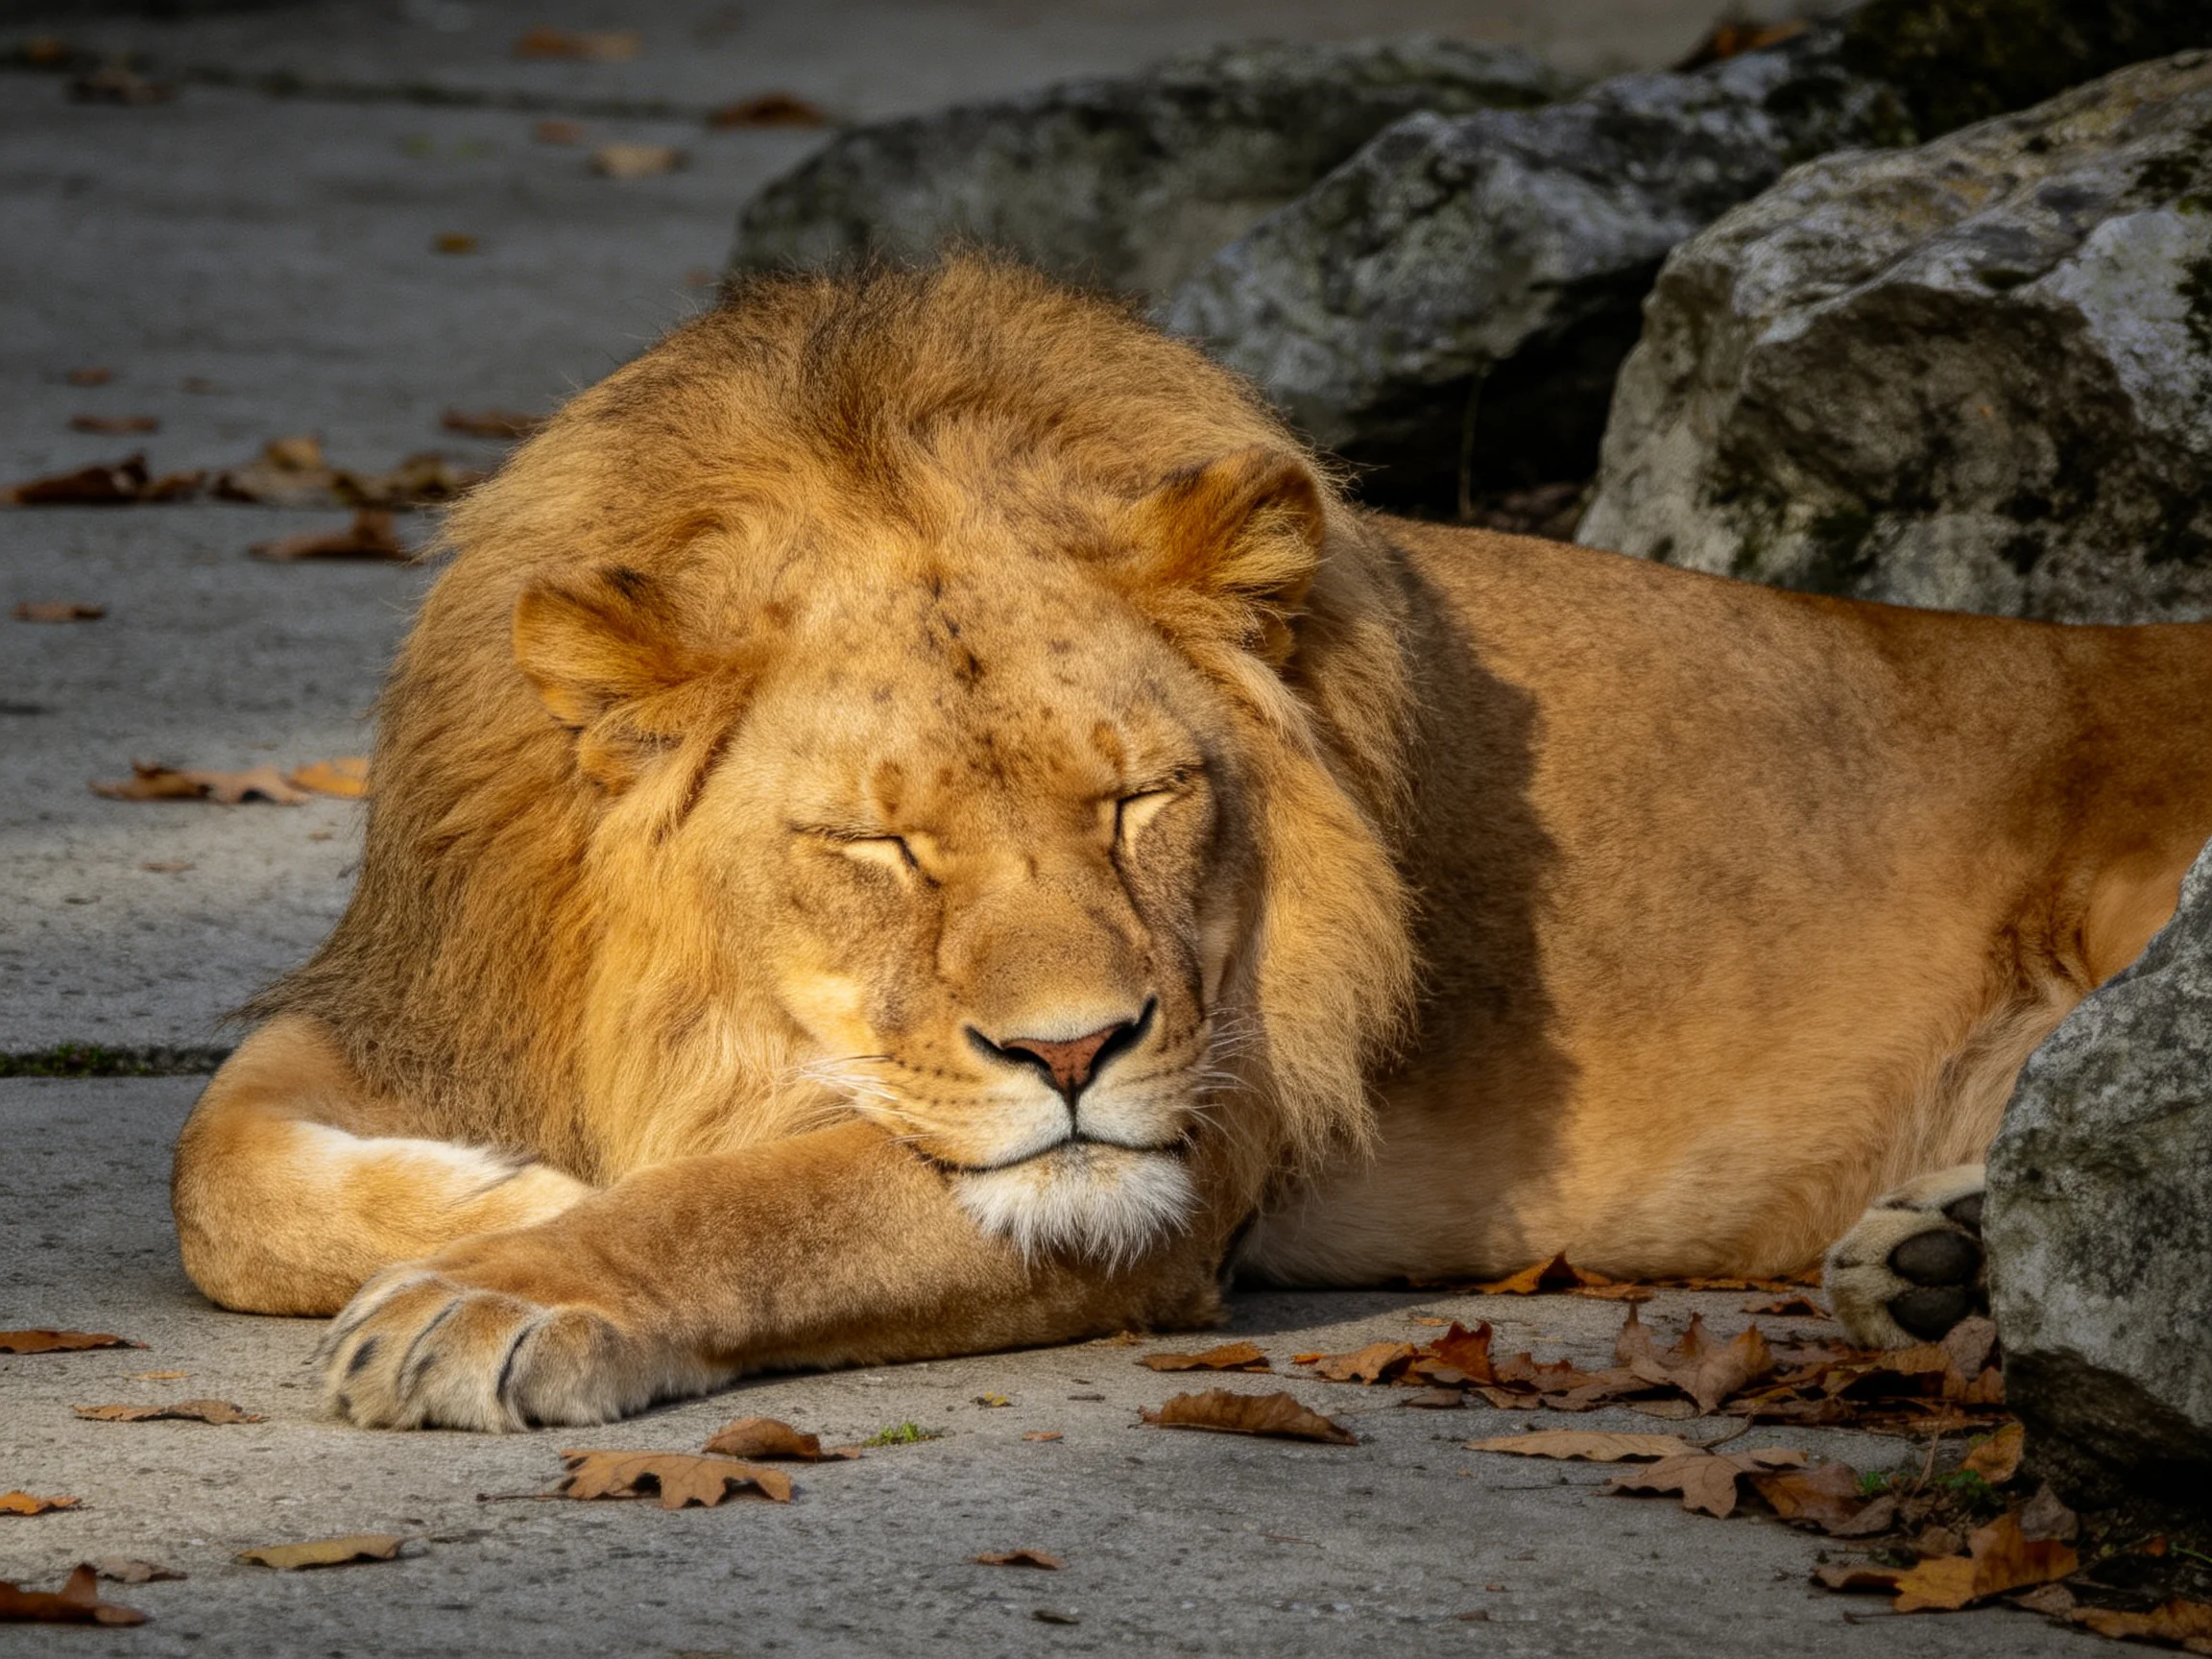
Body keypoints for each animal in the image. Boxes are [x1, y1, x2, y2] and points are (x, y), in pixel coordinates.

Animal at [171, 258, 2212, 1430]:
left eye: (1139, 799)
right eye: (879, 845)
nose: (1074, 1048)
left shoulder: (1195, 1134)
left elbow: (758, 1202)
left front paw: (505, 1285)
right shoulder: (427, 982)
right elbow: (214, 1172)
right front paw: (498, 1190)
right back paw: (1937, 1262)